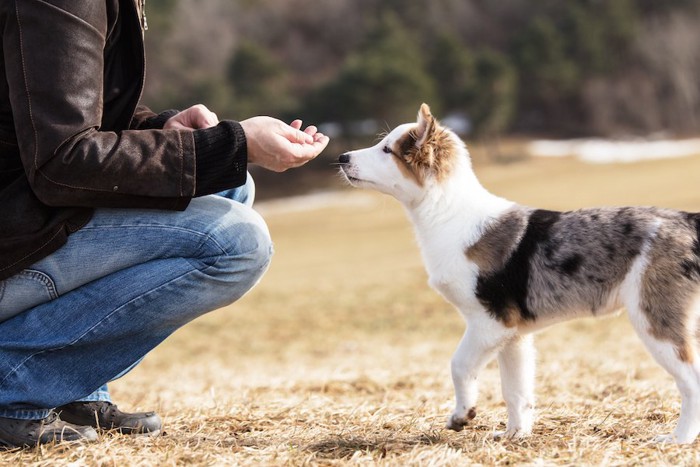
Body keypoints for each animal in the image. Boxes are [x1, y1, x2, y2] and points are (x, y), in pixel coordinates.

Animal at [336, 104, 700, 444]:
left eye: (387, 150)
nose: (341, 157)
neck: (448, 214)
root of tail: (688, 221)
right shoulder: (514, 335)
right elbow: (516, 390)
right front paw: (515, 435)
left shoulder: (489, 322)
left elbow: (459, 365)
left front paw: (462, 415)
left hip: (655, 319)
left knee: (692, 382)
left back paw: (678, 439)